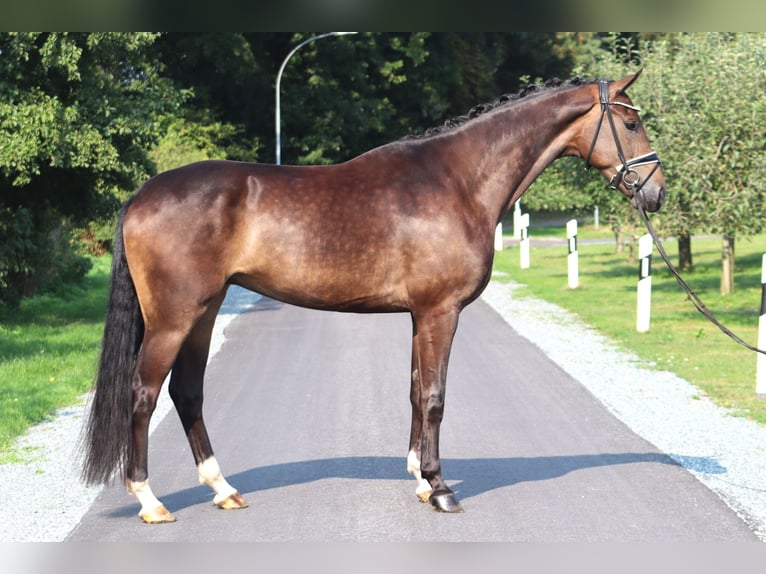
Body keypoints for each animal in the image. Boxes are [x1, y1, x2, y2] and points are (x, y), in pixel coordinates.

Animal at [79, 70, 664, 524]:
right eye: (631, 123)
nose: (655, 192)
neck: (457, 180)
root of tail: (143, 194)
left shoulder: (420, 315)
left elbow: (415, 392)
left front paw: (421, 480)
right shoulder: (440, 312)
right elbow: (435, 397)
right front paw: (441, 489)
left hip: (204, 313)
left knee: (188, 393)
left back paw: (223, 490)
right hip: (174, 319)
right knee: (143, 394)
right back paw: (150, 501)